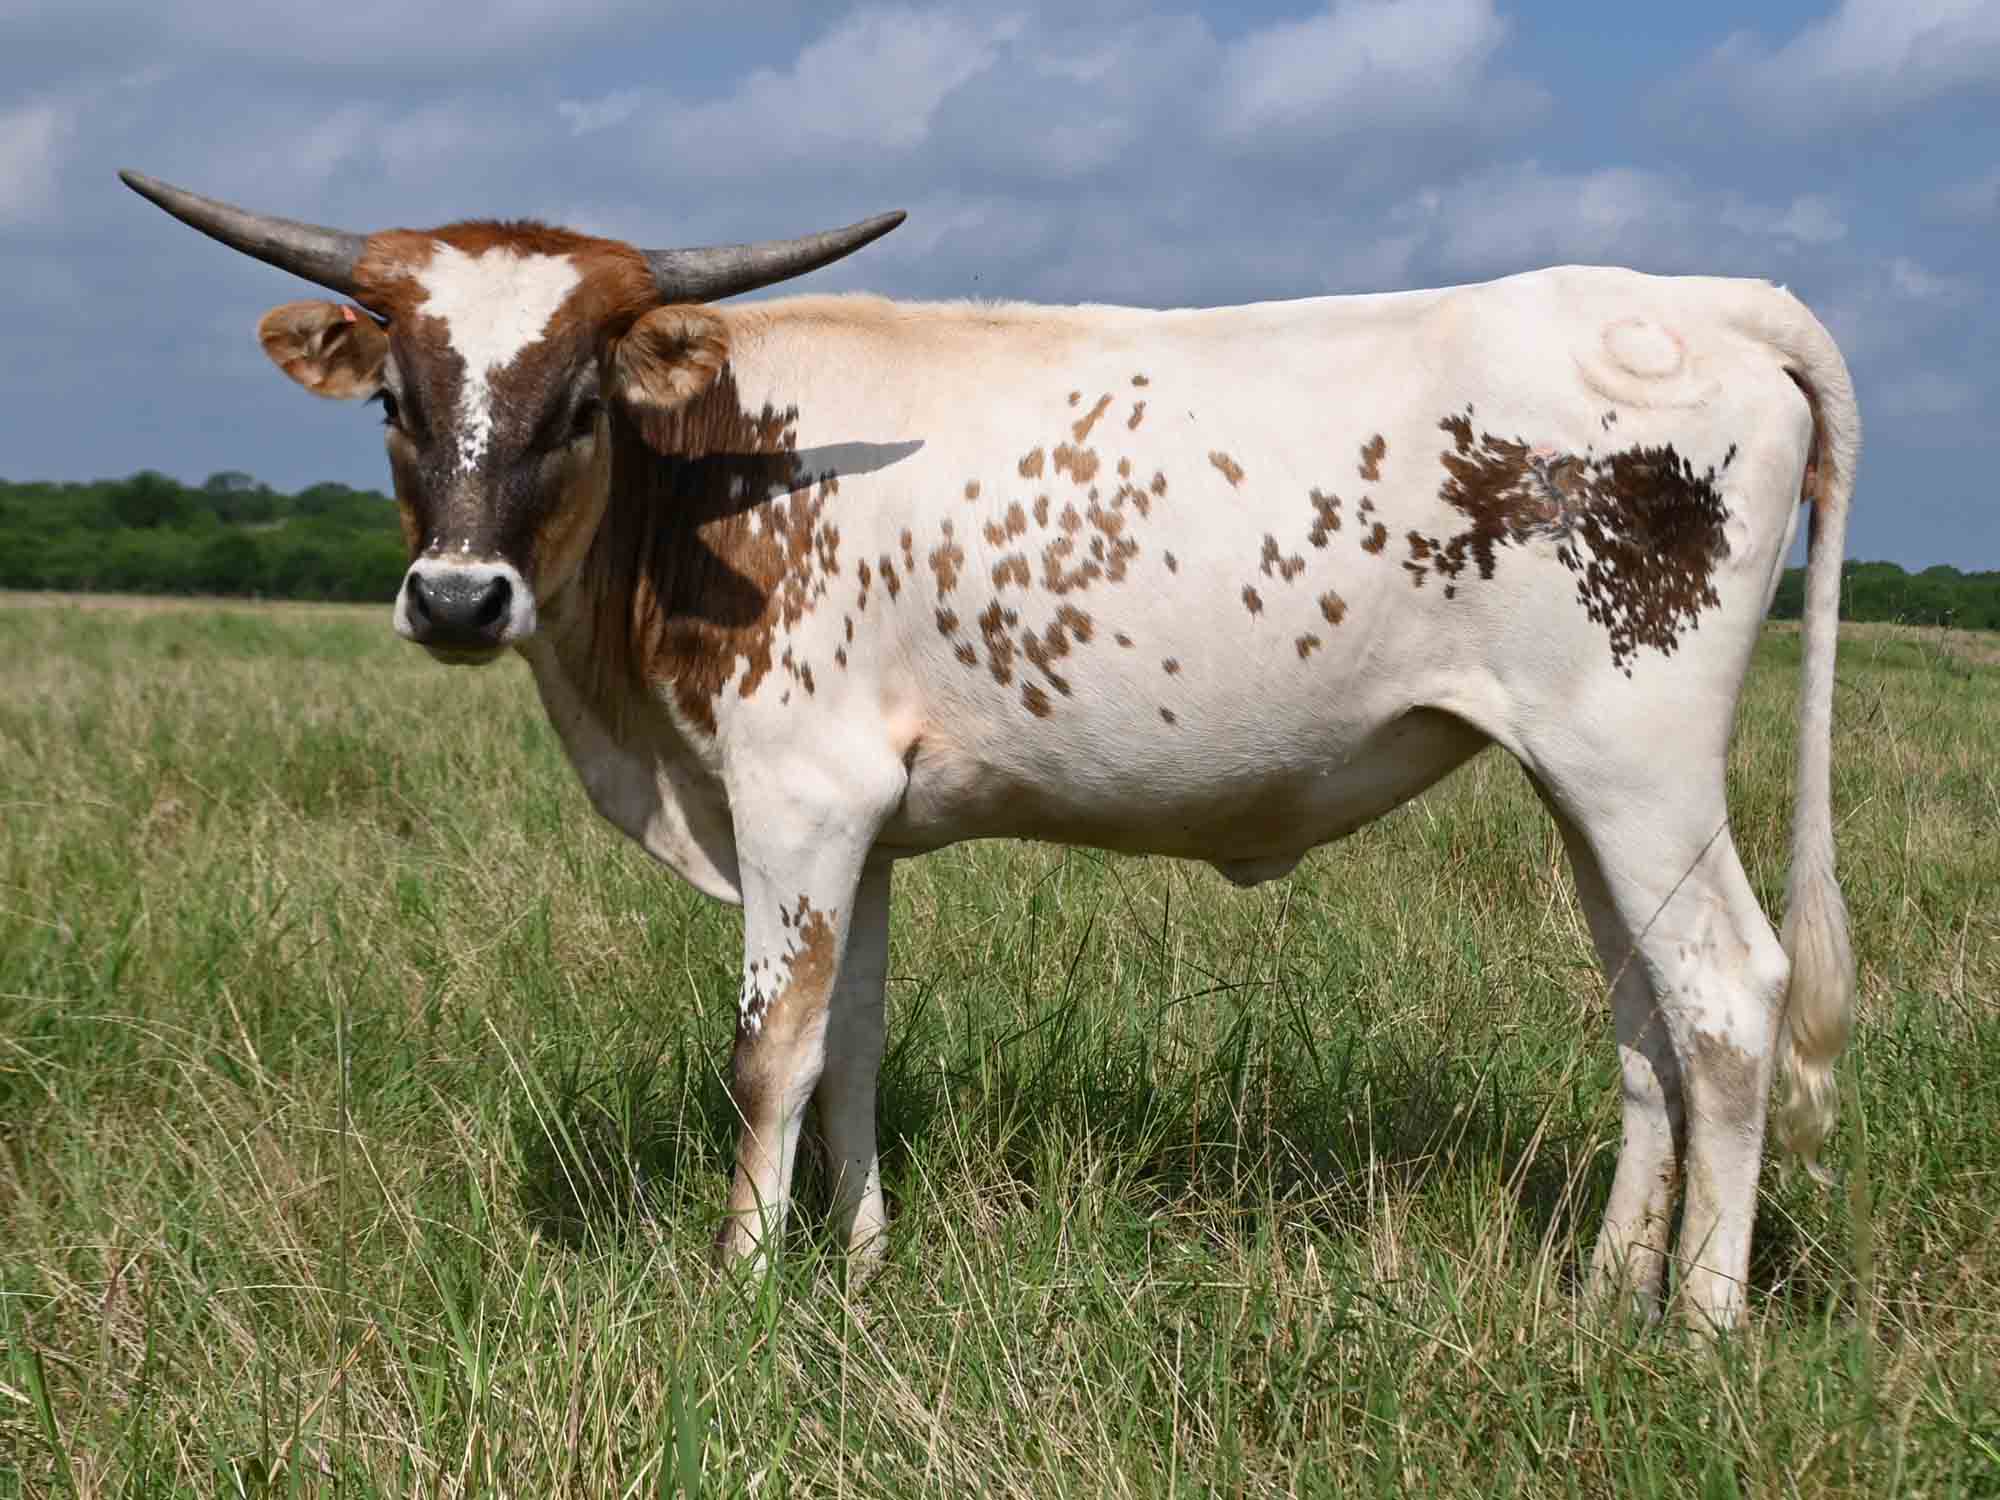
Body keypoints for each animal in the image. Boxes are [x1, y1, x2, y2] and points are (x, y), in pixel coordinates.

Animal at [123, 169, 1857, 1332]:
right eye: (399, 403)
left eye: (577, 405)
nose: (459, 597)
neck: (716, 475)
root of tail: (1706, 301)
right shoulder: (866, 830)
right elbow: (851, 1045)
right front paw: (861, 1263)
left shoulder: (794, 799)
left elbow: (768, 1052)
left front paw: (736, 1289)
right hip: (1577, 783)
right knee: (1642, 1021)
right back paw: (1607, 1295)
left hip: (1638, 760)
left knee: (1726, 999)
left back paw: (1703, 1327)